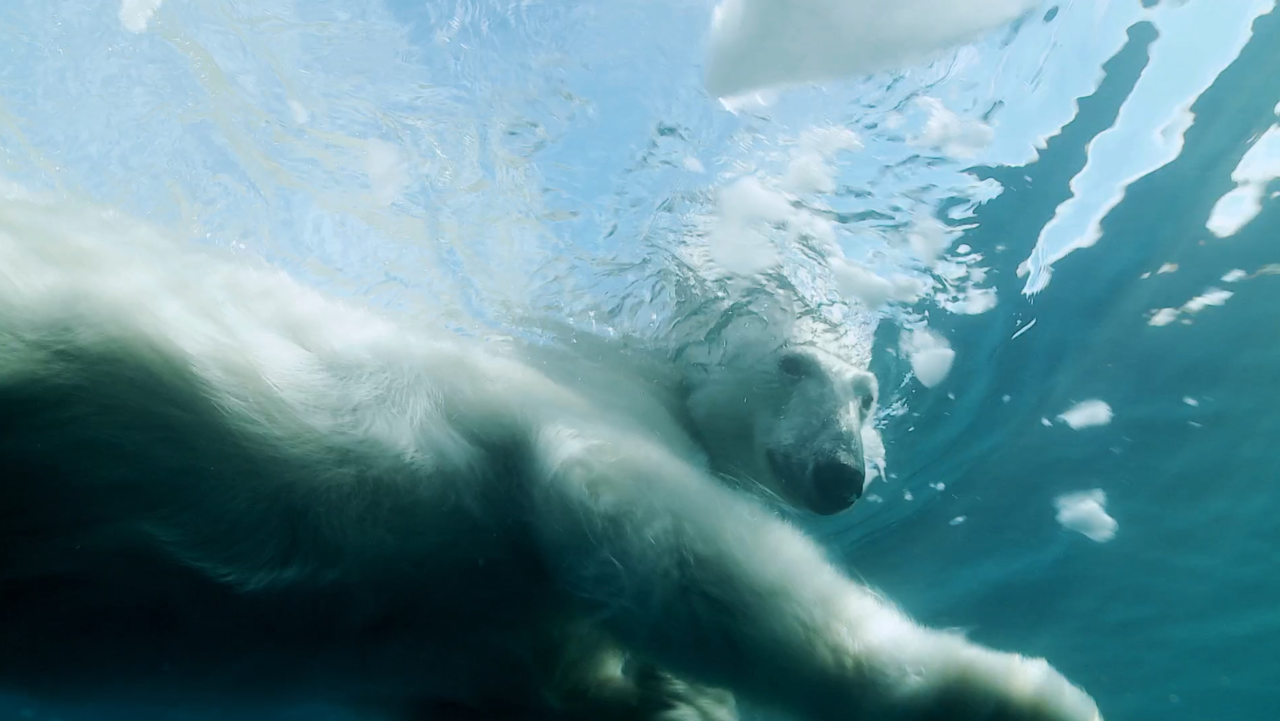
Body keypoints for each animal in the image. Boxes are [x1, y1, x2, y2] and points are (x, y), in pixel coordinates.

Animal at [0, 197, 1100, 721]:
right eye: (793, 363)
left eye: (869, 395)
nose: (843, 474)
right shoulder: (569, 412)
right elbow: (662, 539)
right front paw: (1014, 690)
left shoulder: (445, 637)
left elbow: (504, 675)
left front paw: (671, 697)